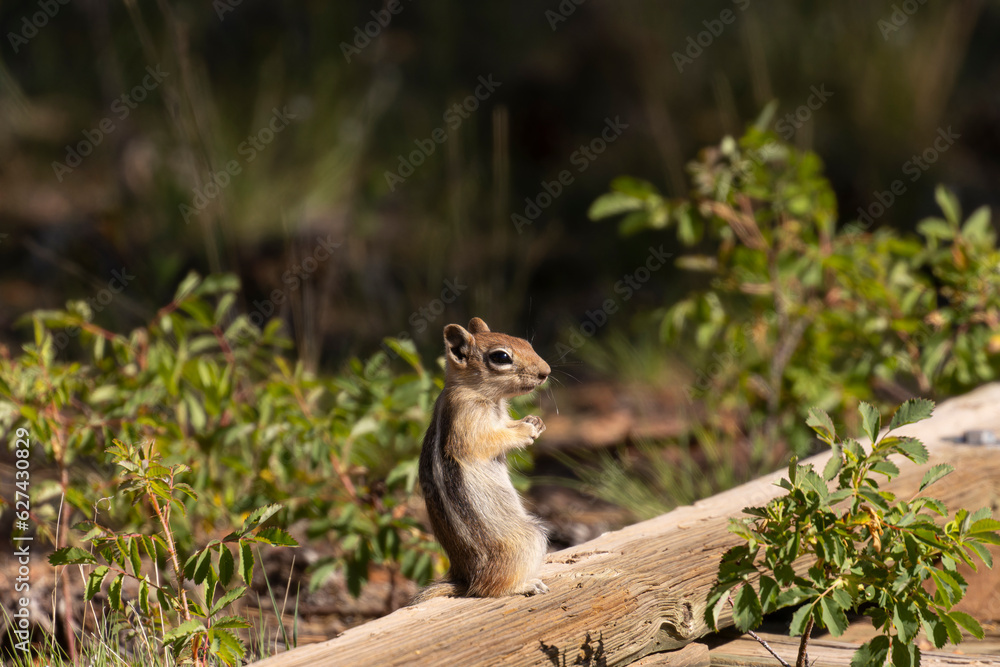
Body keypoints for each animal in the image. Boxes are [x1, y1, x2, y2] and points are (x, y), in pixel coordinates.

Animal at [410, 317, 551, 604]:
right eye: (501, 357)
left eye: (526, 343)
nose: (546, 372)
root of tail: (464, 578)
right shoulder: (467, 421)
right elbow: (488, 441)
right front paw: (525, 431)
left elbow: (506, 425)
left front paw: (534, 421)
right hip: (529, 539)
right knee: (486, 589)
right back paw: (525, 584)